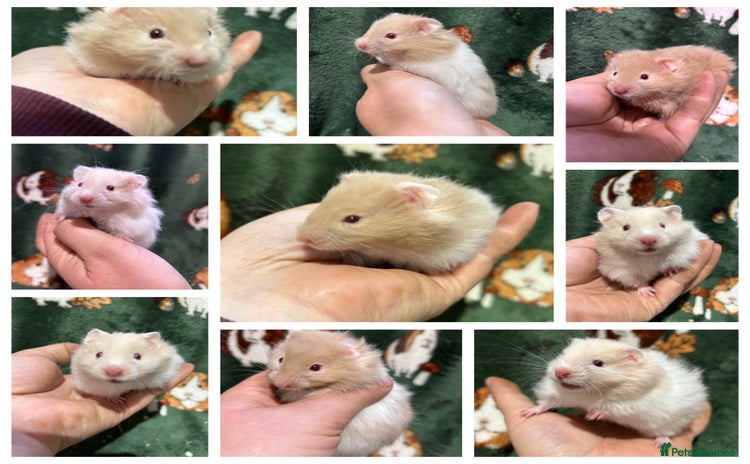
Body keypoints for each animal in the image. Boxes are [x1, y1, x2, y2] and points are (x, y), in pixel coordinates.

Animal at [355, 13, 498, 118]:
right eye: (374, 25)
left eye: (391, 35)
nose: (359, 44)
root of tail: (492, 108)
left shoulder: (426, 67)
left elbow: (404, 65)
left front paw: (393, 67)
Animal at [521, 337, 708, 446]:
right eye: (563, 355)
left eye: (598, 363)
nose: (560, 372)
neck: (588, 394)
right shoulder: (556, 393)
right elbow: (546, 403)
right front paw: (526, 413)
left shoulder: (634, 403)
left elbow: (613, 407)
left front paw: (592, 415)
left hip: (672, 422)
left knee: (665, 432)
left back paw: (661, 443)